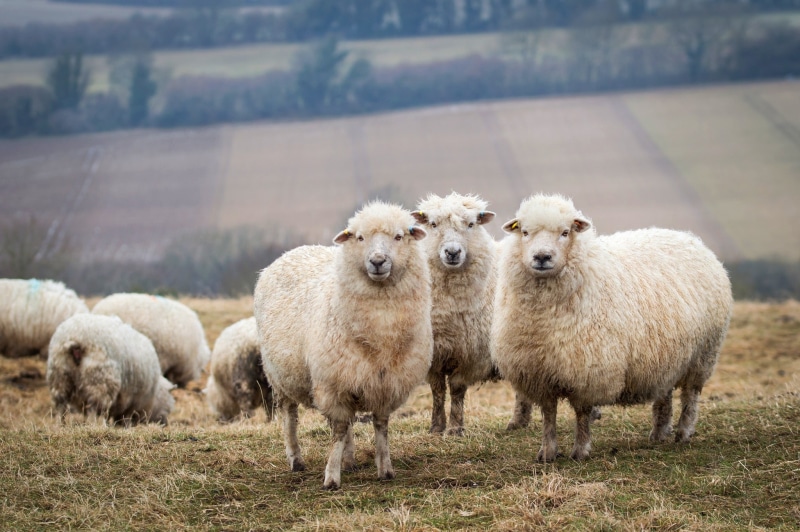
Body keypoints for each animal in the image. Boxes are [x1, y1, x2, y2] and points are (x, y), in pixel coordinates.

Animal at [46, 313, 175, 426]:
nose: (165, 423)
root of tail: (75, 338)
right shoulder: (133, 400)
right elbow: (126, 417)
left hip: (60, 376)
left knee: (61, 406)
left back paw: (60, 425)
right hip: (100, 380)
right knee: (94, 409)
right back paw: (95, 426)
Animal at [254, 201, 432, 490]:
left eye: (399, 236)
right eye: (360, 238)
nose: (378, 261)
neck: (382, 327)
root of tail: (294, 251)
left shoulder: (385, 383)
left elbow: (380, 426)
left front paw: (385, 469)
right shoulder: (332, 384)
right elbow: (337, 431)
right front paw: (331, 477)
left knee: (346, 422)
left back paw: (349, 460)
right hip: (281, 377)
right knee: (290, 417)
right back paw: (296, 459)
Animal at [492, 193, 733, 462]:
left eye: (565, 232)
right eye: (524, 232)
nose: (542, 257)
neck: (544, 317)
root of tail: (690, 239)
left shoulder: (588, 370)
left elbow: (582, 414)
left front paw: (581, 450)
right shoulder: (538, 372)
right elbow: (549, 415)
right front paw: (547, 452)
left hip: (703, 354)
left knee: (691, 395)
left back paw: (684, 433)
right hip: (666, 356)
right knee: (665, 393)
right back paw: (659, 433)